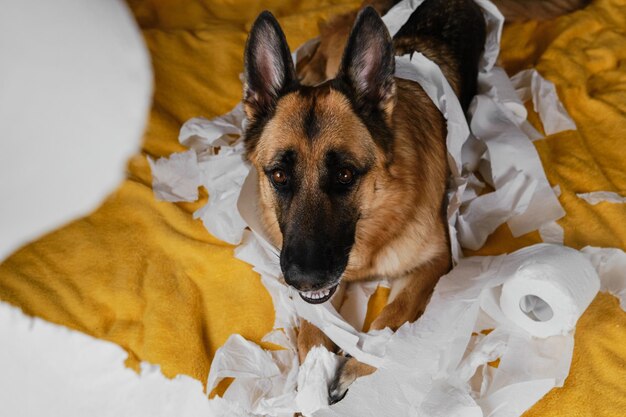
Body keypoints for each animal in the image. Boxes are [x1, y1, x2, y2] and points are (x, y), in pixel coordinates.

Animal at [241, 0, 588, 402]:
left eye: (345, 175)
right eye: (279, 176)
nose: (304, 280)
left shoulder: (434, 261)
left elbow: (393, 316)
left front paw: (358, 369)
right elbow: (313, 325)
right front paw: (314, 368)